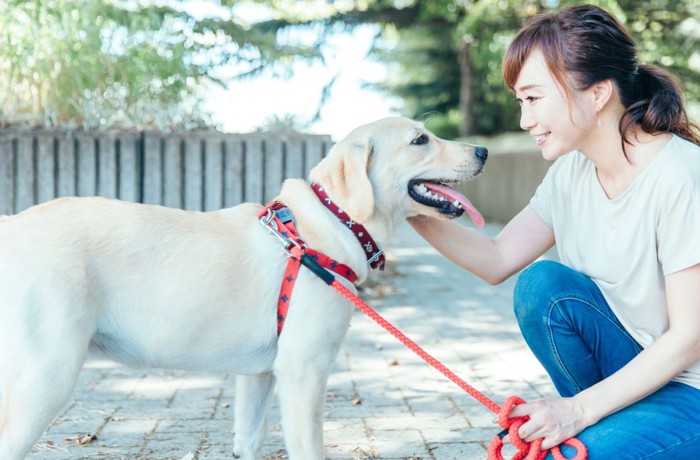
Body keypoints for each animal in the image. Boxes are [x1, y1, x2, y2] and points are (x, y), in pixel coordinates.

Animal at [0, 116, 486, 460]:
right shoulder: (303, 372)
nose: (483, 150)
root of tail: (13, 227)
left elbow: (248, 442)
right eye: (420, 140)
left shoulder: (258, 376)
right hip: (46, 376)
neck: (329, 223)